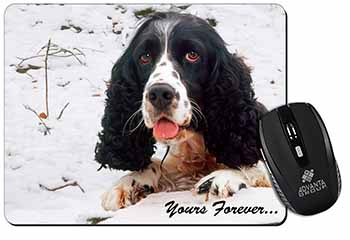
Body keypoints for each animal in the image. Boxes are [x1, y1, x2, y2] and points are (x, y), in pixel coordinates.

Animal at [95, 11, 270, 210]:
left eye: (192, 55)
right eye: (144, 57)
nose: (159, 93)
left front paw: (222, 178)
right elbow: (157, 166)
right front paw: (129, 182)